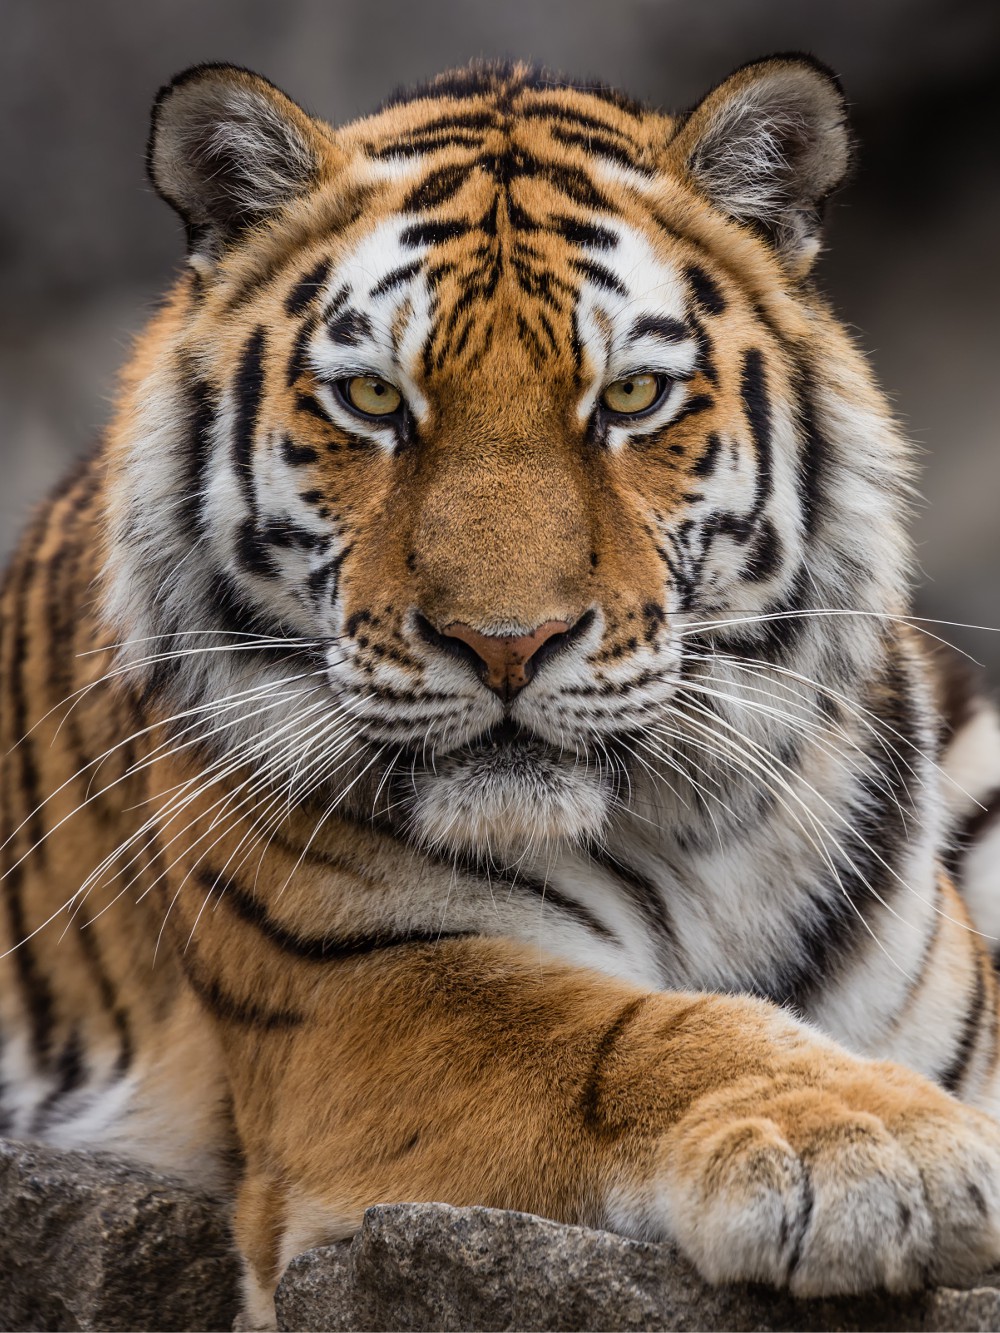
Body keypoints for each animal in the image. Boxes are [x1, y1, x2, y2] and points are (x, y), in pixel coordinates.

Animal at [3, 52, 1000, 1330]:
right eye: (376, 402)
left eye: (629, 397)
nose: (506, 644)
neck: (692, 843)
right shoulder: (362, 998)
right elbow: (627, 1033)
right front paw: (876, 1150)